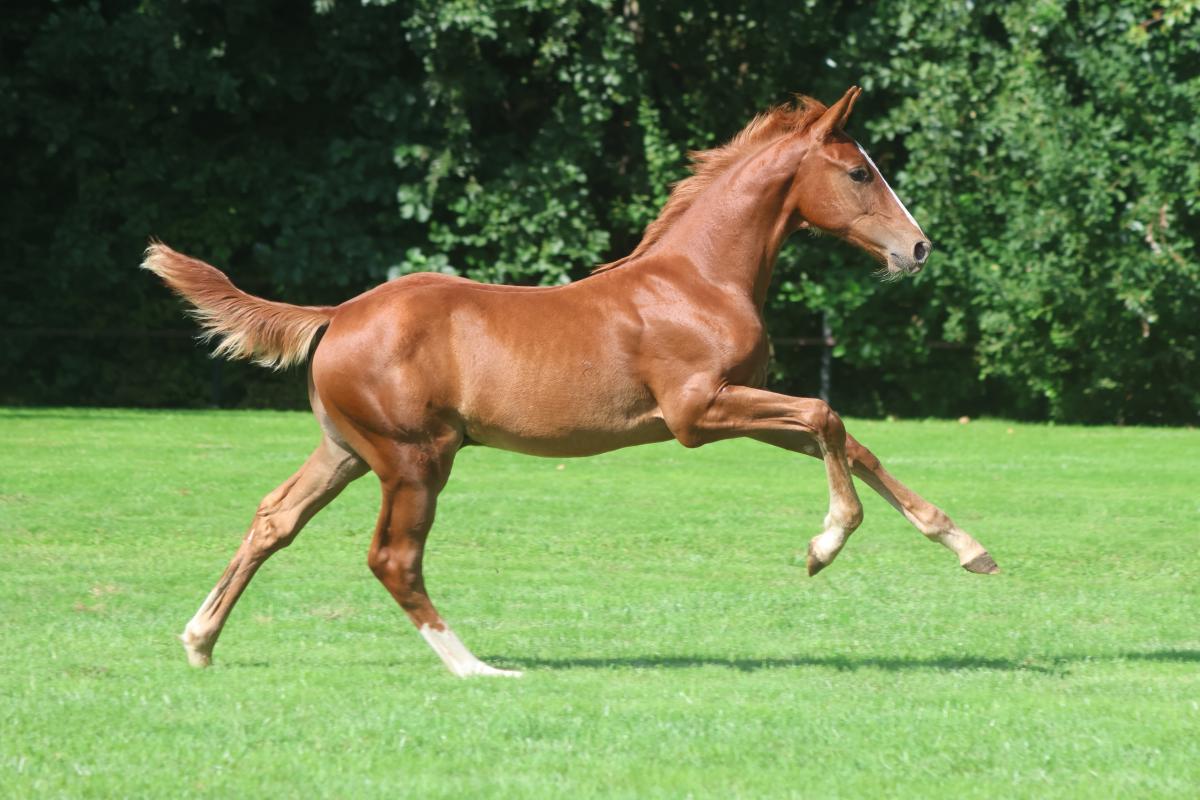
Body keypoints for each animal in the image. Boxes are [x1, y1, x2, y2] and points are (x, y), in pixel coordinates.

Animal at [143, 86, 998, 678]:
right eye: (858, 172)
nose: (919, 249)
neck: (698, 279)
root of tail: (337, 313)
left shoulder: (741, 410)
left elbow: (850, 439)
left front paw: (967, 547)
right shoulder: (697, 413)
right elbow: (826, 415)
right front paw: (824, 546)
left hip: (348, 451)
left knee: (274, 519)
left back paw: (199, 640)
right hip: (416, 459)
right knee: (393, 559)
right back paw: (477, 667)